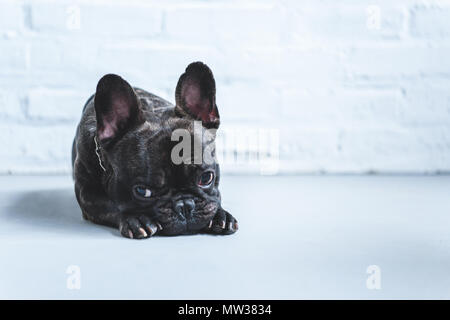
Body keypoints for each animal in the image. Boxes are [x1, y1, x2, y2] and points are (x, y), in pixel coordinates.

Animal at [71, 62, 239, 238]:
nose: (185, 205)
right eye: (142, 191)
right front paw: (135, 218)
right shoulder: (87, 195)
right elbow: (110, 205)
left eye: (206, 178)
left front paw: (221, 214)